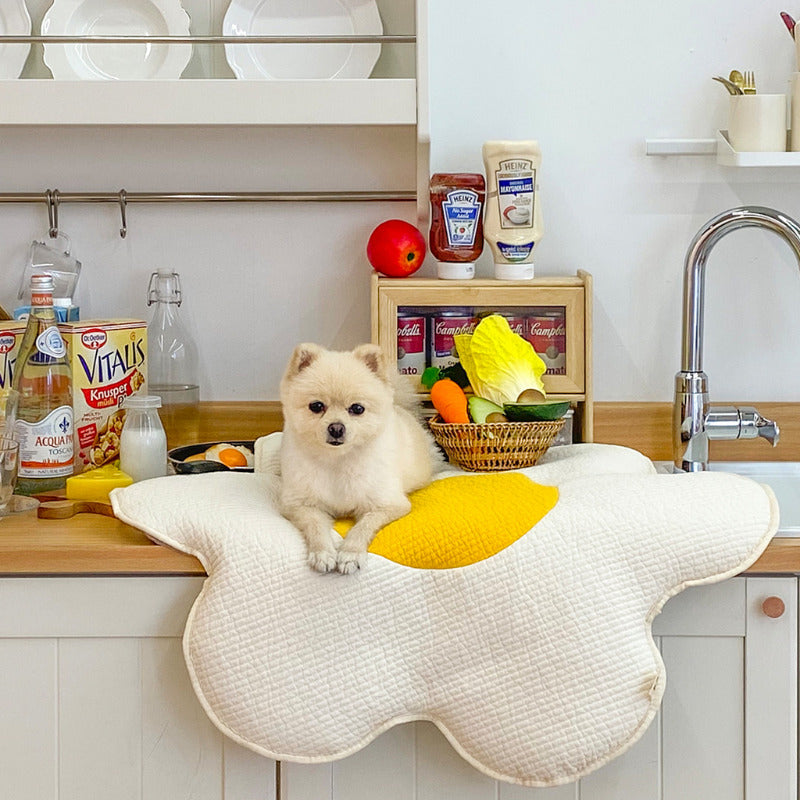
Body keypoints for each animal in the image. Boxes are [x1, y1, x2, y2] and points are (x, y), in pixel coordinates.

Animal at [278, 344, 440, 576]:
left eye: (357, 409)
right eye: (316, 406)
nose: (336, 428)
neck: (337, 461)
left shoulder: (386, 505)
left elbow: (362, 527)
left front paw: (350, 554)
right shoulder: (300, 504)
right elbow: (315, 526)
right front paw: (323, 553)